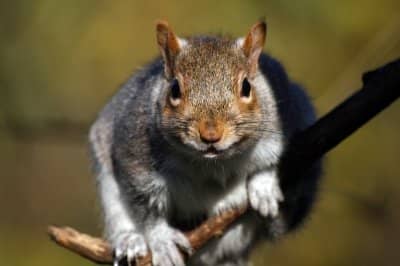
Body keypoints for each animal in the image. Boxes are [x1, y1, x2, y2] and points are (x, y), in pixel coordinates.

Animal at [90, 19, 322, 264]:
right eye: (175, 89)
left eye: (247, 87)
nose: (210, 135)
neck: (213, 163)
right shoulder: (135, 158)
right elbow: (146, 209)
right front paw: (162, 240)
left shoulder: (281, 122)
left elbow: (268, 162)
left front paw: (264, 186)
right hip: (107, 183)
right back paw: (129, 241)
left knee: (285, 222)